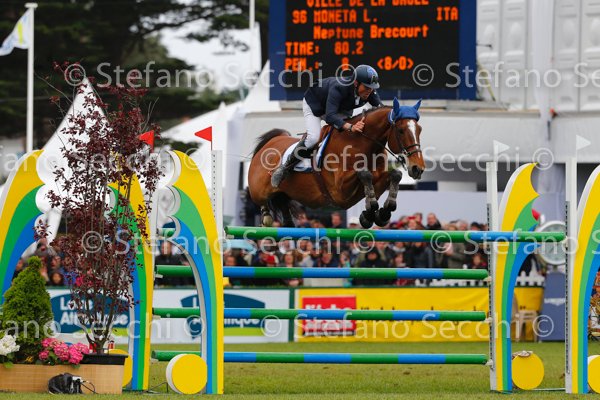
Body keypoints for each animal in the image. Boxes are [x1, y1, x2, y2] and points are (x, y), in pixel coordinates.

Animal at [248, 98, 425, 228]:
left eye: (420, 129)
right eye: (401, 131)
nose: (418, 168)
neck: (361, 143)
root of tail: (269, 143)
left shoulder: (378, 178)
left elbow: (395, 174)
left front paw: (379, 213)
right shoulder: (340, 191)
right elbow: (364, 173)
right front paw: (371, 211)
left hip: (284, 195)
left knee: (285, 212)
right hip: (258, 191)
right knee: (261, 202)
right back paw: (267, 211)